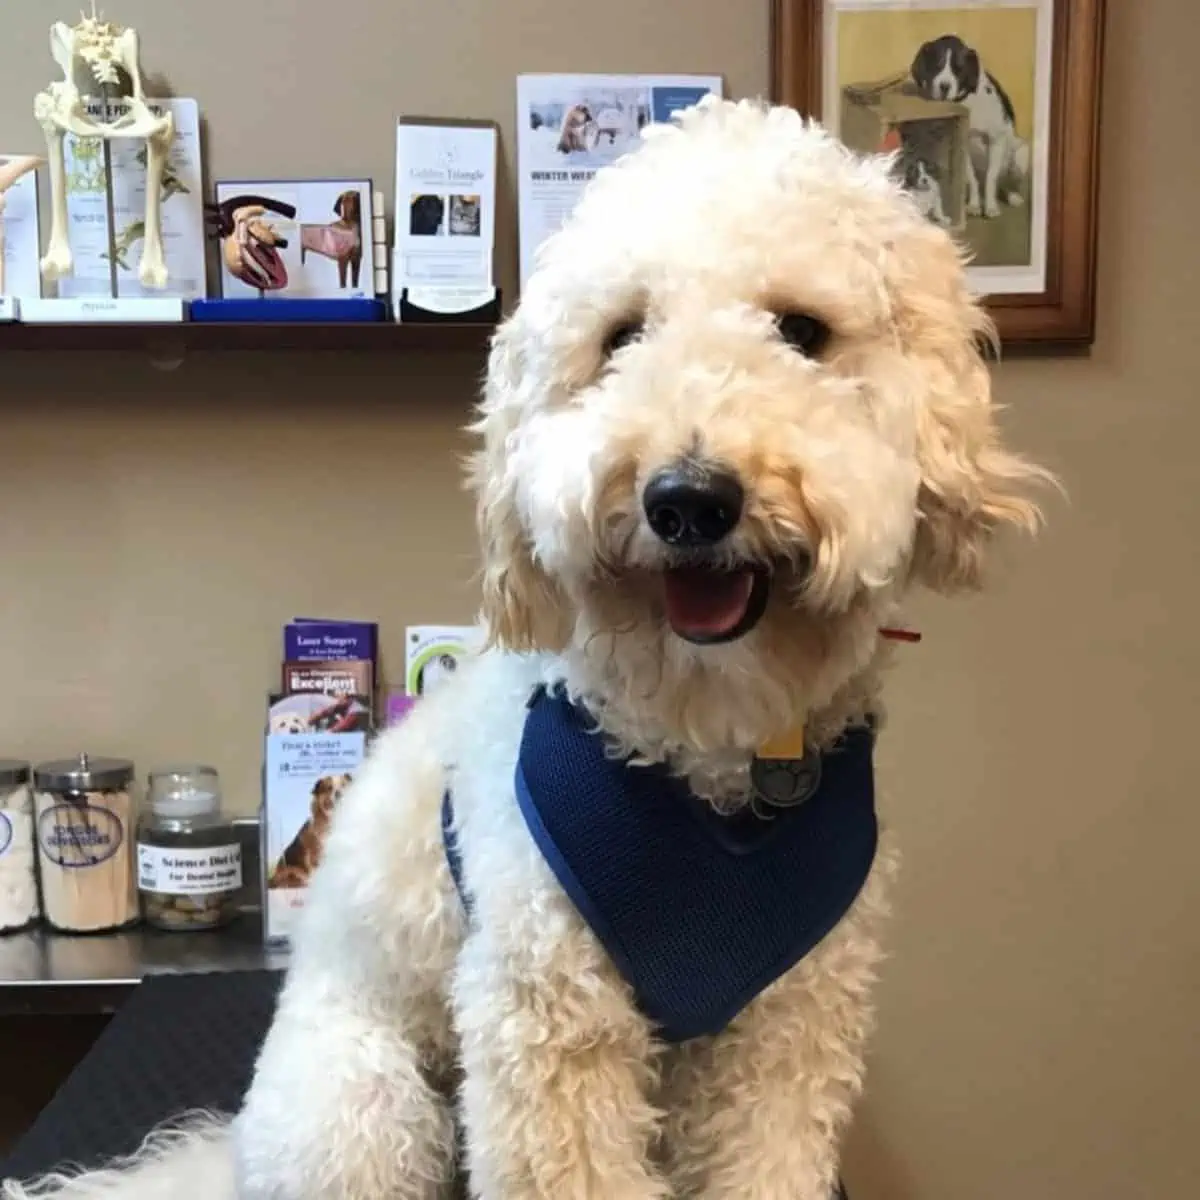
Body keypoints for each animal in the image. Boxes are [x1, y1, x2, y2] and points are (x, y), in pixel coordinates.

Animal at [2, 96, 1051, 1200]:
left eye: (803, 331)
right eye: (622, 336)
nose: (687, 500)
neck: (705, 744)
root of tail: (233, 1153)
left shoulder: (791, 1026)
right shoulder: (547, 1010)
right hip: (366, 1110)